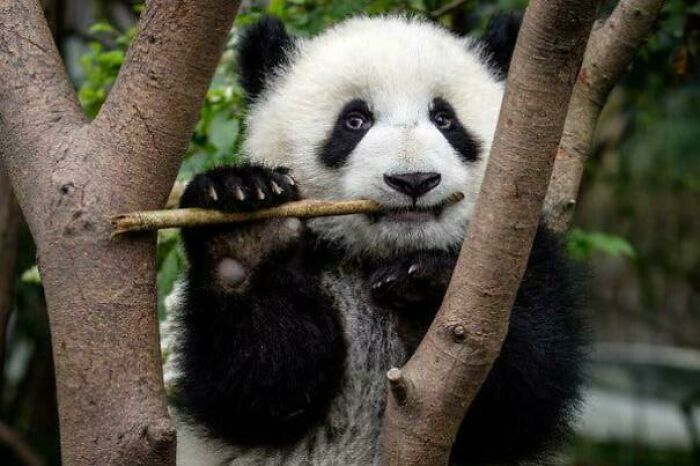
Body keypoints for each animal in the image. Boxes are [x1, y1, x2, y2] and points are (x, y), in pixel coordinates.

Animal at [166, 13, 585, 466]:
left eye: (445, 119)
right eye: (354, 121)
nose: (414, 180)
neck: (378, 254)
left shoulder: (517, 255)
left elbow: (524, 389)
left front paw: (424, 284)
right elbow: (260, 386)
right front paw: (247, 228)